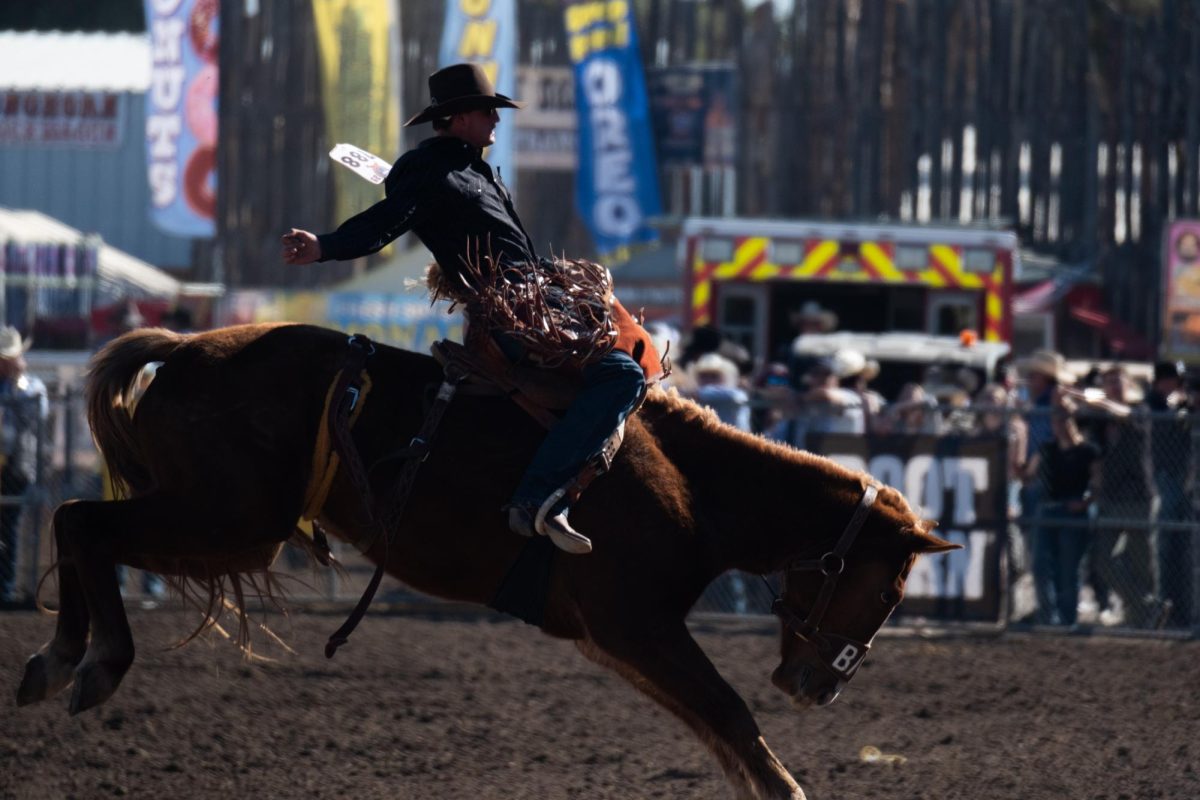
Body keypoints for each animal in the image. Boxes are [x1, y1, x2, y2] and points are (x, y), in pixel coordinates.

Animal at [16, 323, 955, 800]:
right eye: (891, 590)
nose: (818, 687)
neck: (687, 483)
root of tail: (187, 347)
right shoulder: (637, 623)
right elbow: (728, 714)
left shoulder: (617, 640)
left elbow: (719, 729)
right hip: (222, 515)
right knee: (82, 522)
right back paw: (87, 662)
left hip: (233, 527)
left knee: (76, 521)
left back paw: (55, 660)